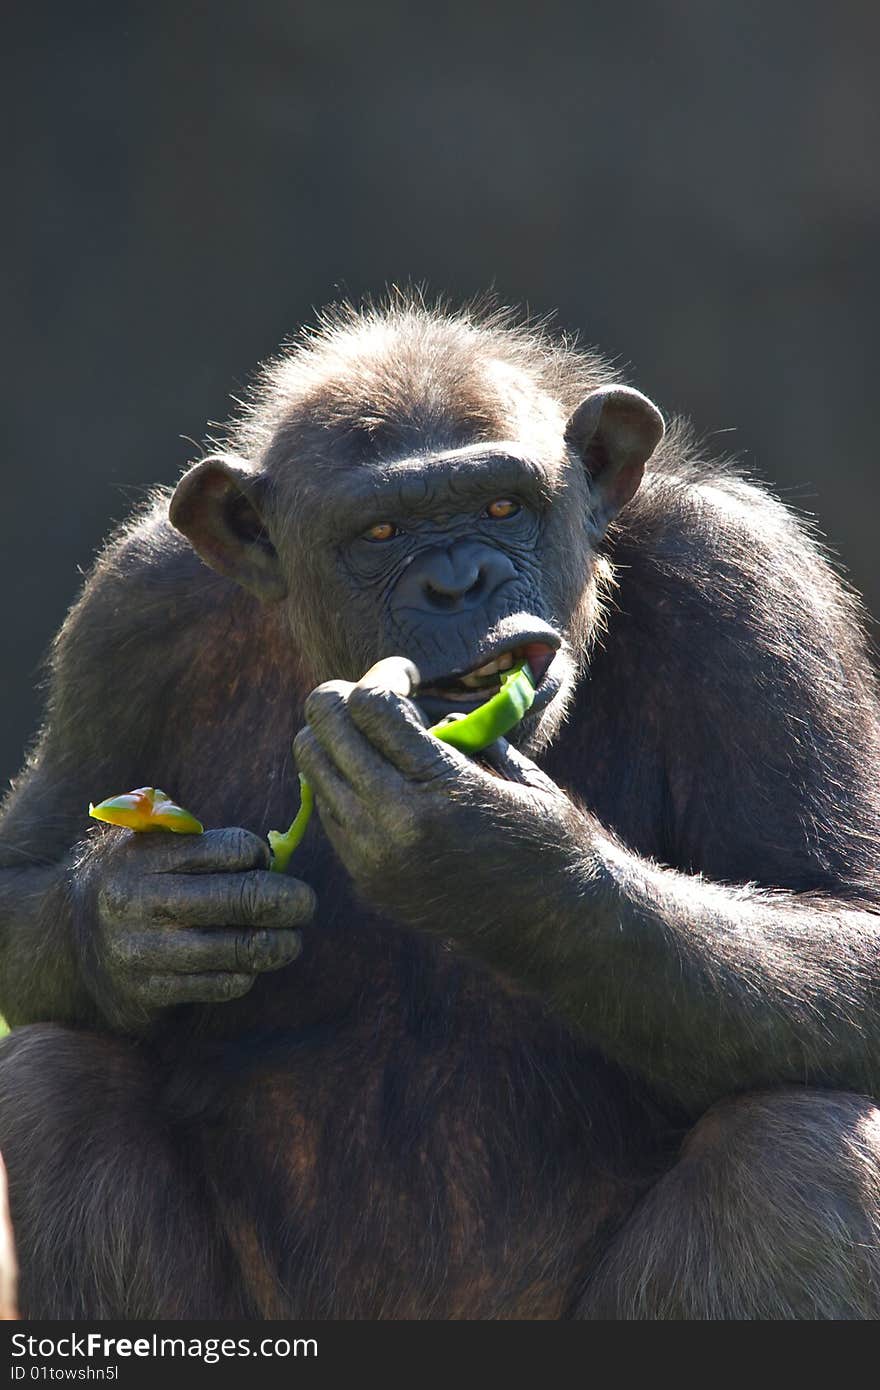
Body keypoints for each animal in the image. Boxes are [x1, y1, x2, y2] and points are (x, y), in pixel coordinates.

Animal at [1, 293, 878, 1312]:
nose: (459, 581)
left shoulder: (751, 586)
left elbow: (847, 917)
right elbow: (26, 867)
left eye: (503, 506)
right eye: (381, 535)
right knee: (55, 1087)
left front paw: (492, 853)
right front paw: (138, 915)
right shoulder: (127, 613)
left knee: (794, 1154)